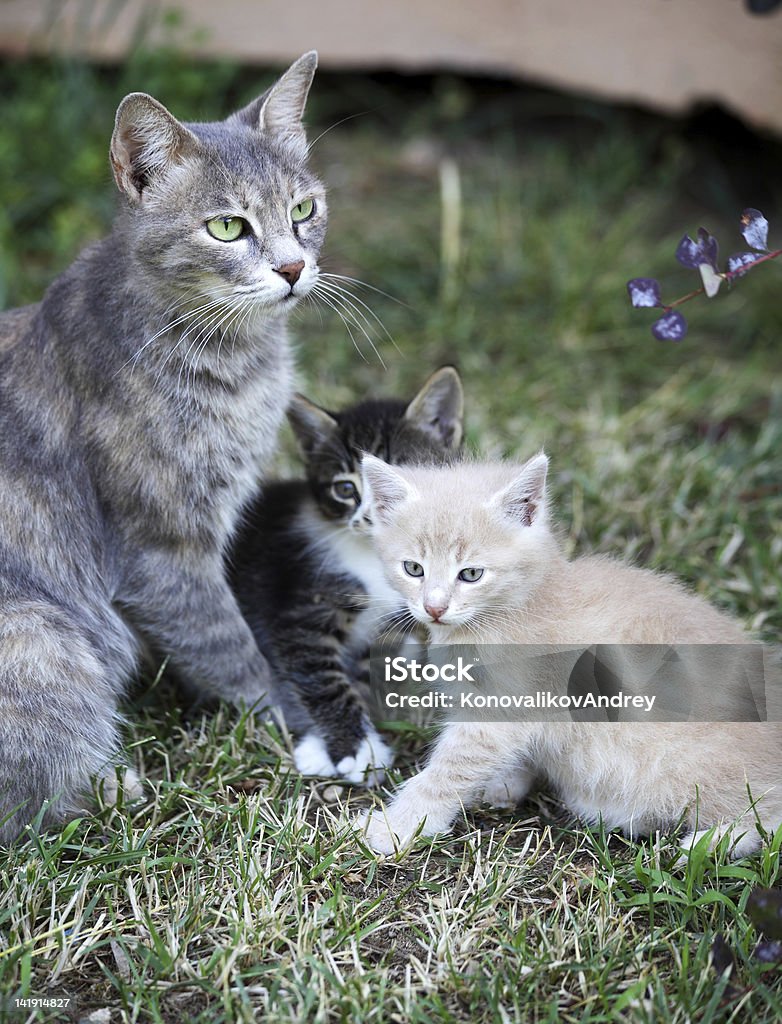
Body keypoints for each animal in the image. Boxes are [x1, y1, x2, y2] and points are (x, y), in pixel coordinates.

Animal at [0, 51, 325, 843]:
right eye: (228, 226)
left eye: (302, 211)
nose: (293, 268)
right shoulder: (162, 548)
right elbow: (227, 646)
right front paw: (294, 720)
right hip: (42, 640)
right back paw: (115, 785)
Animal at [230, 368, 464, 782]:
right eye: (345, 488)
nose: (371, 516)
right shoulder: (300, 609)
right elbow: (321, 679)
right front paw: (355, 748)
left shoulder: (385, 627)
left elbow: (360, 675)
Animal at [356, 454, 781, 856]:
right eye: (413, 568)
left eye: (471, 574)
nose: (434, 608)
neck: (518, 606)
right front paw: (506, 781)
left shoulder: (505, 707)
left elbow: (449, 772)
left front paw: (395, 827)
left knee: (768, 811)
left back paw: (711, 842)